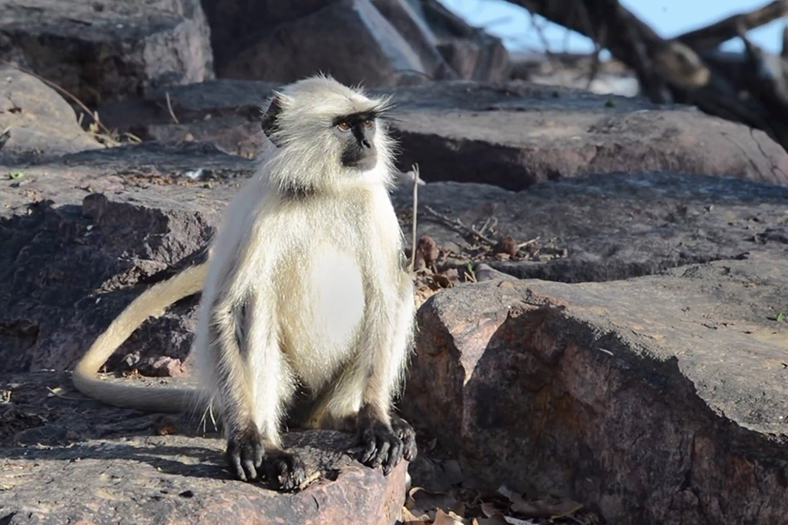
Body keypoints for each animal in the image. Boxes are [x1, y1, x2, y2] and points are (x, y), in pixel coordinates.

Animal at [72, 74, 418, 492]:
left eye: (366, 122)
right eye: (342, 127)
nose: (369, 144)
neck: (319, 192)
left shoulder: (374, 204)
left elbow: (386, 294)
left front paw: (377, 422)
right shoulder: (261, 215)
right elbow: (225, 309)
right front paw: (246, 437)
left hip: (330, 392)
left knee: (402, 289)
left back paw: (350, 417)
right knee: (253, 306)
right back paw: (269, 448)